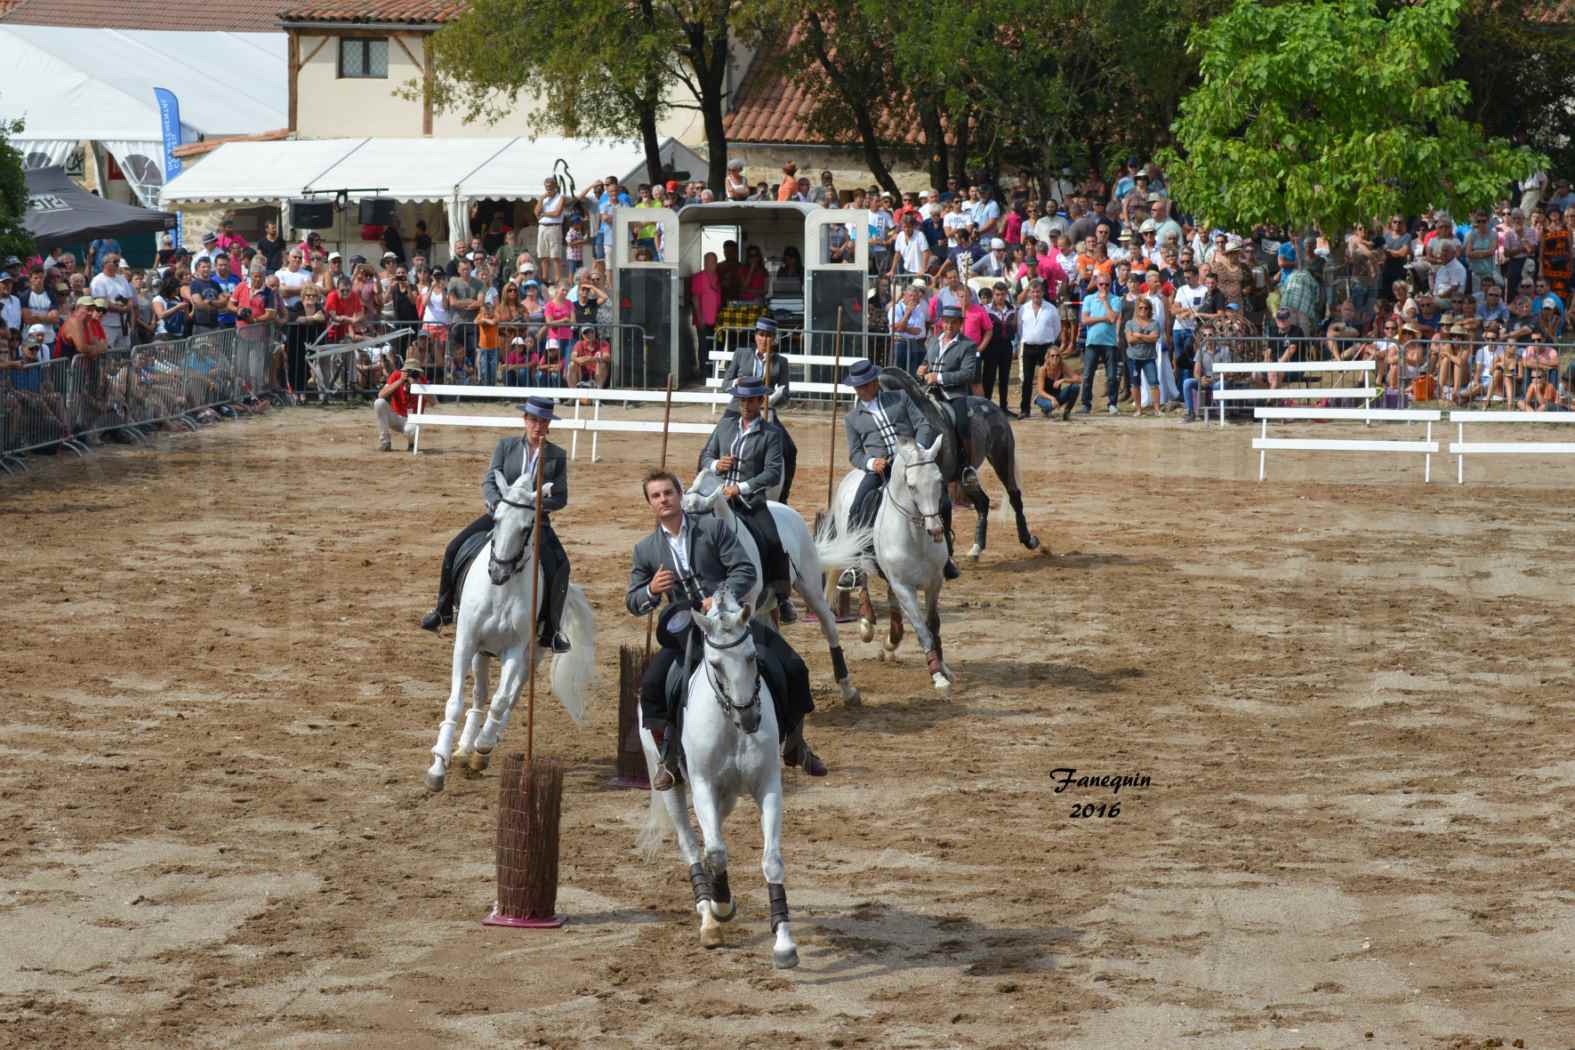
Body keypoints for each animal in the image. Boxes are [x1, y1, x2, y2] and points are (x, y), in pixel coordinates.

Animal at [425, 472, 595, 793]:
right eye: (496, 519)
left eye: (528, 527)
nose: (498, 572)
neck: (501, 592)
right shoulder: (466, 643)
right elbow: (456, 702)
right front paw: (438, 766)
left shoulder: (515, 650)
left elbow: (502, 700)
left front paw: (483, 748)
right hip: (481, 652)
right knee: (479, 695)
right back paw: (464, 748)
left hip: (535, 654)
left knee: (512, 696)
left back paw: (486, 744)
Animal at [633, 591, 800, 969]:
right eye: (716, 663)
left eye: (752, 656)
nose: (750, 718)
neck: (730, 724)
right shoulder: (703, 786)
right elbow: (716, 853)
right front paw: (720, 907)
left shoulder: (768, 787)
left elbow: (771, 860)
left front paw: (784, 942)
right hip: (673, 784)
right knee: (693, 845)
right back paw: (708, 916)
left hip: (729, 794)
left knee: (713, 831)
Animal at [831, 434, 951, 689]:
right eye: (911, 485)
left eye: (939, 481)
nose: (936, 530)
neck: (916, 538)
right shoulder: (903, 586)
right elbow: (921, 628)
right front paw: (937, 674)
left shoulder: (934, 582)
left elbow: (933, 624)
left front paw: (944, 668)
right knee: (862, 580)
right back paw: (867, 623)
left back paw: (892, 637)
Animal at [882, 368, 1039, 563]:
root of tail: (993, 406)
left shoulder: (939, 482)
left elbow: (943, 510)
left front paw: (947, 554)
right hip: (966, 477)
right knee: (983, 503)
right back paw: (977, 548)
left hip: (1001, 458)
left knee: (1014, 496)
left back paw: (1028, 539)